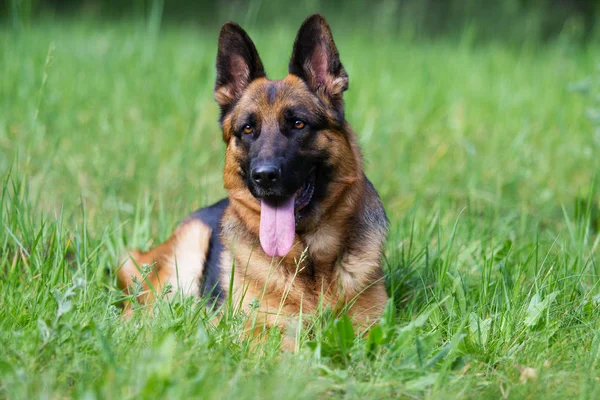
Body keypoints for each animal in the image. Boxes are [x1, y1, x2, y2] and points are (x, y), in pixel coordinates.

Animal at [117, 14, 390, 348]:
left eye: (298, 124)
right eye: (248, 129)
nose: (264, 176)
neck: (310, 262)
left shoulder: (371, 329)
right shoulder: (256, 331)